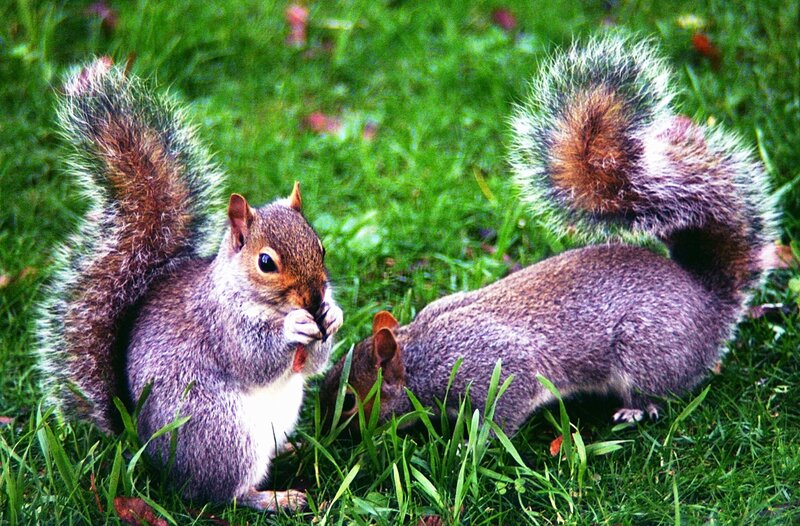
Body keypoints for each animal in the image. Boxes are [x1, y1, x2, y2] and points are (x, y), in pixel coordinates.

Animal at [35, 57, 344, 511]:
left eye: (320, 246)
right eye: (265, 262)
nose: (314, 297)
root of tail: (146, 451)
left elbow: (312, 364)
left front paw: (333, 315)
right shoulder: (220, 325)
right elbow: (253, 359)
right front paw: (294, 326)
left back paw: (290, 448)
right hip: (222, 432)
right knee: (225, 493)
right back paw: (274, 498)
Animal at [319, 36, 779, 435]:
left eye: (349, 400)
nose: (325, 433)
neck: (420, 355)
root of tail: (709, 302)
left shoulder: (495, 372)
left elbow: (502, 414)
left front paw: (470, 447)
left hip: (647, 351)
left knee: (657, 390)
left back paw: (634, 409)